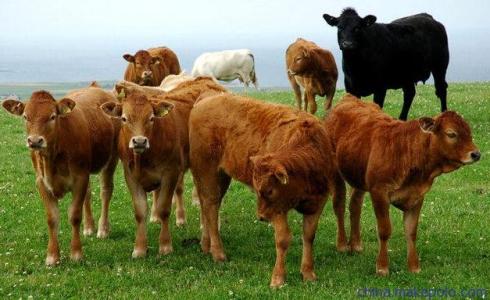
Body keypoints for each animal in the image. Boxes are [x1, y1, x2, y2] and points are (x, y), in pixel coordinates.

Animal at [1, 84, 119, 264]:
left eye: (52, 116)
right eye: (26, 117)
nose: (35, 141)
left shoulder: (79, 178)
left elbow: (74, 215)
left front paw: (76, 253)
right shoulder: (41, 182)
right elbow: (52, 218)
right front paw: (52, 256)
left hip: (111, 159)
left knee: (106, 191)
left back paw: (103, 229)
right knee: (88, 194)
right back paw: (89, 227)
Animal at [104, 77, 227, 255]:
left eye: (151, 118)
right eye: (124, 119)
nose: (139, 141)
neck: (144, 158)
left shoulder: (170, 173)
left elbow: (163, 209)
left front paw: (165, 246)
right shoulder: (130, 176)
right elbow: (140, 212)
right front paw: (139, 248)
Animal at [189, 94, 342, 288]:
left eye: (269, 190)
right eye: (258, 189)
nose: (261, 216)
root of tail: (207, 98)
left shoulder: (317, 203)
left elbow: (308, 236)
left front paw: (308, 273)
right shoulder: (278, 210)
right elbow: (283, 239)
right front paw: (278, 278)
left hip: (220, 177)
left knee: (207, 206)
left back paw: (205, 245)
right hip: (208, 173)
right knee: (211, 207)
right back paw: (218, 253)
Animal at [324, 95, 480, 276]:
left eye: (469, 132)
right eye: (451, 134)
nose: (476, 154)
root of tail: (350, 98)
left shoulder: (417, 195)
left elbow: (411, 231)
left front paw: (414, 266)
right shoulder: (379, 192)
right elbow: (384, 230)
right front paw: (382, 267)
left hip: (358, 178)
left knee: (355, 207)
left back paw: (356, 244)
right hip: (335, 173)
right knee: (339, 206)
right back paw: (342, 245)